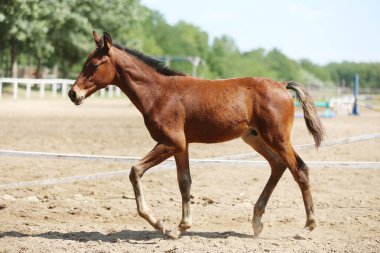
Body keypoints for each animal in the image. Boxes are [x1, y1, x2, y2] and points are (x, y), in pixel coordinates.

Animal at [68, 31, 324, 239]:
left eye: (94, 65)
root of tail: (282, 85)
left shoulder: (171, 142)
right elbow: (184, 182)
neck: (159, 93)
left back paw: (306, 228)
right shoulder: (181, 146)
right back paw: (257, 222)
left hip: (277, 138)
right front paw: (179, 228)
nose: (73, 93)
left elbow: (135, 171)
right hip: (254, 137)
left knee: (299, 170)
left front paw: (159, 223)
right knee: (278, 165)